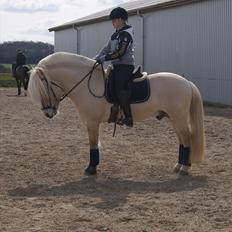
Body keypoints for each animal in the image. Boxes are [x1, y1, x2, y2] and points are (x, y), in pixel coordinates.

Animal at [27, 52, 205, 176]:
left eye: (43, 87)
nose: (48, 113)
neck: (87, 84)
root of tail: (186, 82)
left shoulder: (92, 122)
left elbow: (93, 144)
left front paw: (91, 168)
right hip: (175, 119)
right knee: (183, 141)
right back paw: (179, 166)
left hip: (179, 118)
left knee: (187, 139)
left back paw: (184, 168)